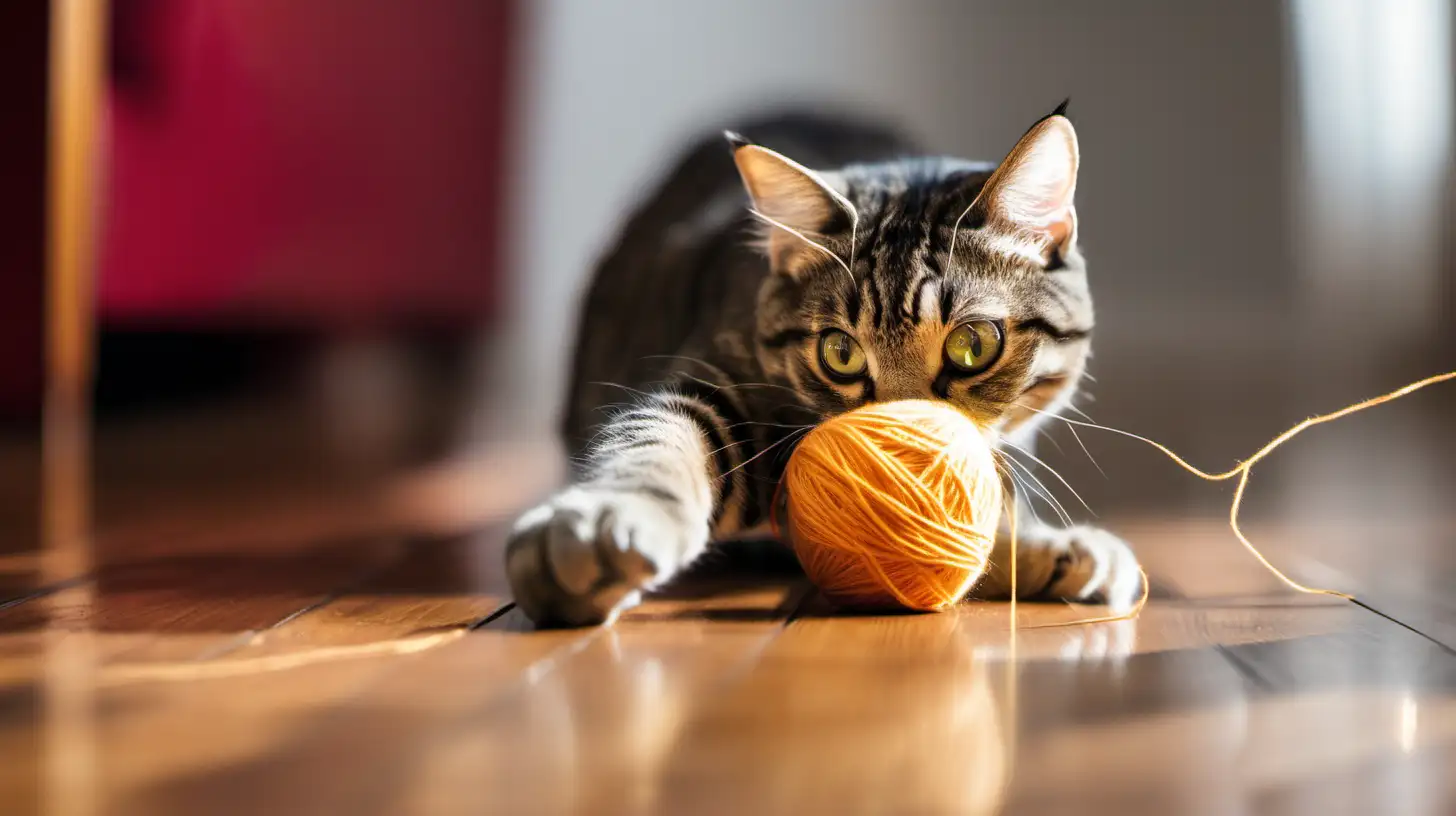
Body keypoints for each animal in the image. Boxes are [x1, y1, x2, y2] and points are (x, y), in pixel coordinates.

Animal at [506, 102, 1141, 623]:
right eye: (840, 353)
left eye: (973, 345)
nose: (904, 443)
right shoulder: (716, 384)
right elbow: (657, 440)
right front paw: (600, 528)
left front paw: (1046, 550)